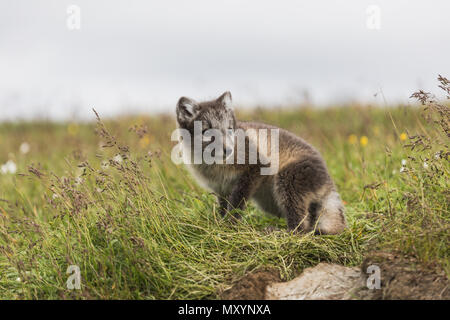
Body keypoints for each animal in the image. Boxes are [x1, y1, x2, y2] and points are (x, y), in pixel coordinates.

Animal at [174, 91, 346, 234]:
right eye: (206, 131)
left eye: (229, 129)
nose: (228, 150)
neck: (214, 165)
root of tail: (328, 180)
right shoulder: (220, 188)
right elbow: (223, 207)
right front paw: (222, 224)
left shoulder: (257, 166)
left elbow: (237, 201)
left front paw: (231, 224)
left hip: (287, 181)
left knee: (300, 228)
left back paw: (280, 233)